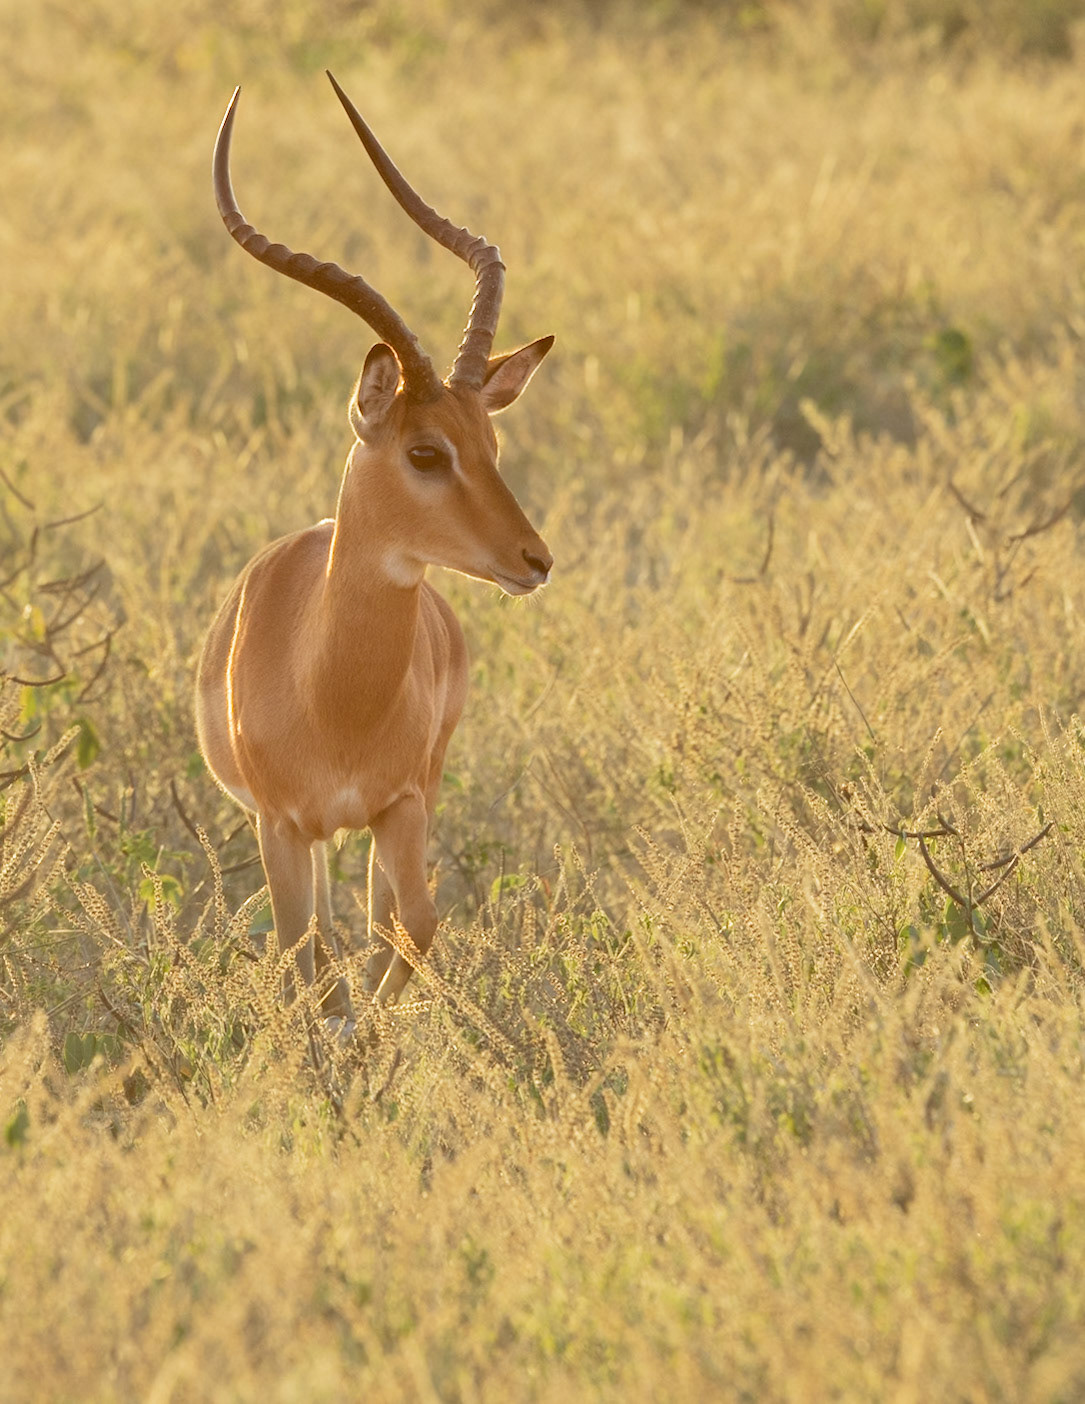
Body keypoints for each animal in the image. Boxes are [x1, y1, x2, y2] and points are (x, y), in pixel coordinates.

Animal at [196, 73, 554, 1028]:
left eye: (491, 443)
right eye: (425, 452)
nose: (534, 560)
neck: (331, 694)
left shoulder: (399, 806)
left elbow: (412, 931)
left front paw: (372, 1046)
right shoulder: (281, 825)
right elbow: (306, 963)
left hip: (408, 803)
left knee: (380, 921)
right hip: (311, 838)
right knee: (320, 938)